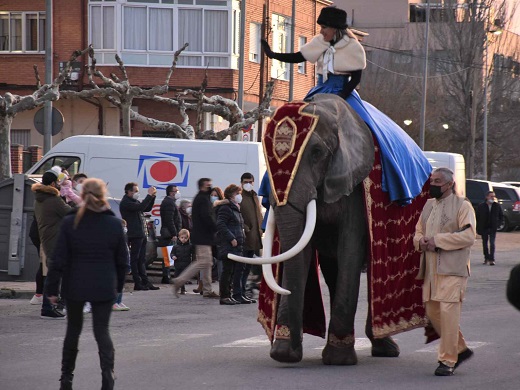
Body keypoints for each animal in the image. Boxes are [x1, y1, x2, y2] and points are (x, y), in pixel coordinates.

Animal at [229, 93, 426, 366]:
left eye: (317, 153)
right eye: (266, 158)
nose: (283, 351)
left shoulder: (353, 184)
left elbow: (350, 249)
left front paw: (338, 359)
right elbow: (299, 251)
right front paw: (285, 353)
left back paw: (386, 348)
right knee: (334, 271)